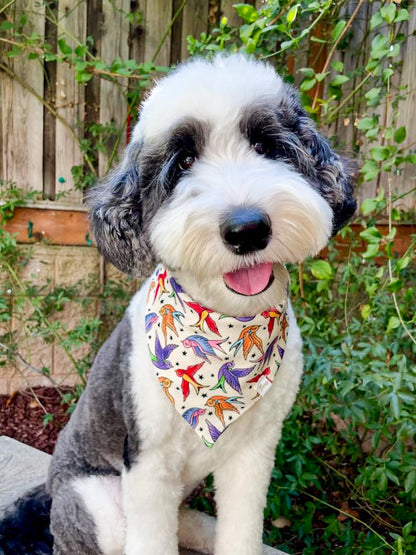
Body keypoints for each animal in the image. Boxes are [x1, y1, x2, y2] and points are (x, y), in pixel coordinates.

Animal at [0, 53, 358, 555]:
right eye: (184, 160)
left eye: (267, 146)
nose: (247, 228)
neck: (226, 325)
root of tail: (51, 491)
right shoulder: (148, 463)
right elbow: (152, 535)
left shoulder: (253, 452)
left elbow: (242, 527)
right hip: (102, 503)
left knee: (185, 520)